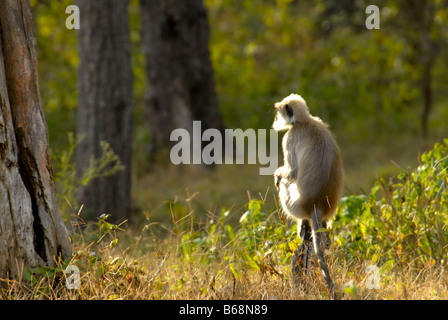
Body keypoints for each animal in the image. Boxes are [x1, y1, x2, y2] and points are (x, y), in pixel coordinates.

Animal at [272, 94, 344, 298]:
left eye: (278, 113)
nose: (275, 120)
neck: (306, 122)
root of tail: (317, 205)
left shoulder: (289, 137)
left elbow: (291, 173)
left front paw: (278, 174)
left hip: (293, 204)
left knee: (284, 185)